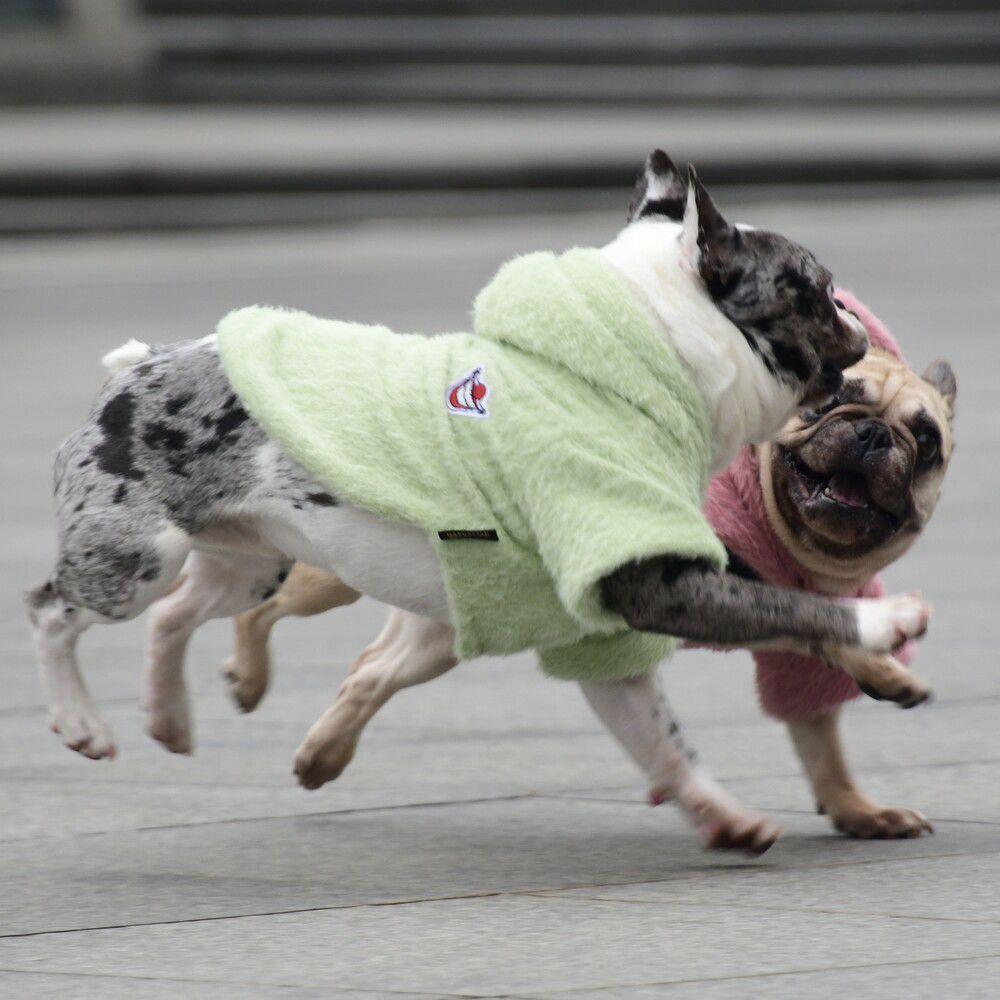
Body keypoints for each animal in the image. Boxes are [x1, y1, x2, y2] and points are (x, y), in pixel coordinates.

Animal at [26, 152, 933, 855]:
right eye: (816, 289)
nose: (857, 317)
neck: (658, 353)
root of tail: (137, 366)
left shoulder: (612, 620)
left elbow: (661, 736)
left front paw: (723, 817)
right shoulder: (654, 578)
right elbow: (794, 606)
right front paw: (888, 623)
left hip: (248, 561)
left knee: (178, 612)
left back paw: (168, 717)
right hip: (135, 555)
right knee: (54, 609)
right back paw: (82, 723)